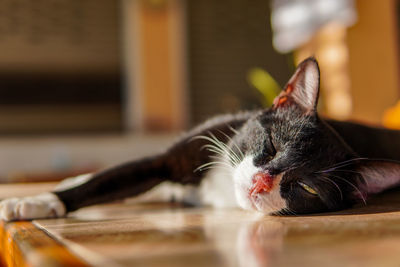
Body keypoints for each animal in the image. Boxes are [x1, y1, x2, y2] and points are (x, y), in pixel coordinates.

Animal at [0, 57, 400, 222]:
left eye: (308, 188)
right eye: (272, 144)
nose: (261, 182)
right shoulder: (176, 155)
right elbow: (106, 181)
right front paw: (37, 200)